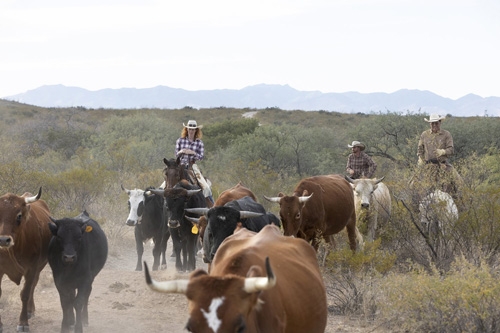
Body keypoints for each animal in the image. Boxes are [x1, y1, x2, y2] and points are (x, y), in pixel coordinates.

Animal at [0, 188, 52, 330]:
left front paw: (23, 323)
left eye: (19, 215)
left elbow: (25, 294)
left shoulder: (31, 269)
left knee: (33, 286)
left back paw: (29, 310)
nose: (3, 240)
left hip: (39, 267)